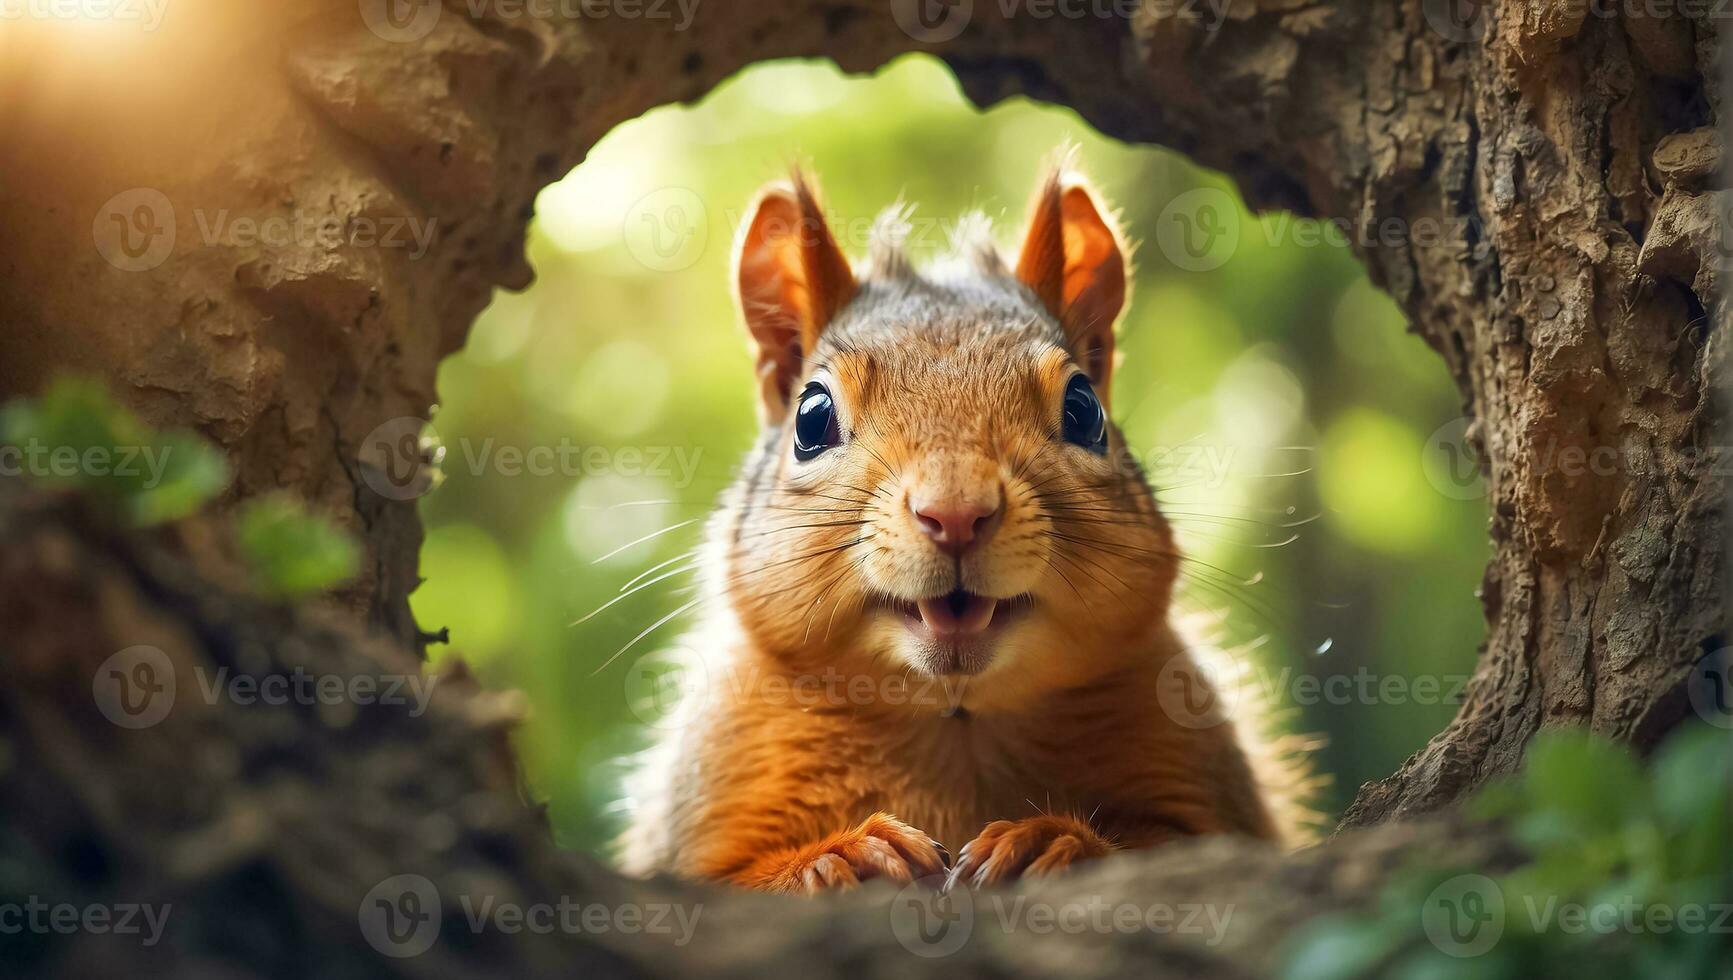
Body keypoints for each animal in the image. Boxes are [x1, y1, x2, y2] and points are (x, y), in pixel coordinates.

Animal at [623, 160, 1310, 895]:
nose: (955, 512)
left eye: (1084, 410)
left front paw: (1051, 840)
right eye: (810, 417)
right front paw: (839, 857)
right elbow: (727, 878)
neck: (956, 725)